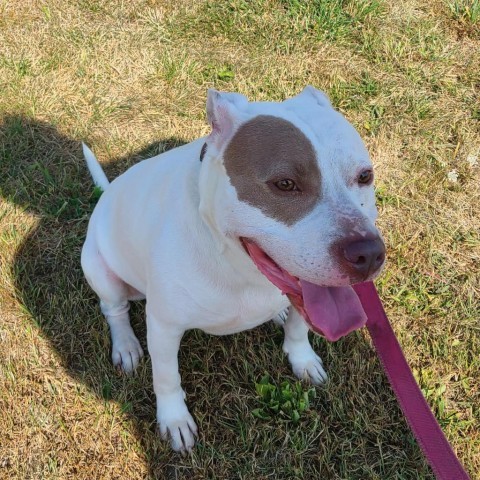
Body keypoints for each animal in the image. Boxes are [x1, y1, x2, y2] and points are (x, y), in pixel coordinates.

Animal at [80, 87, 384, 454]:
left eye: (364, 176)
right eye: (285, 183)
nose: (368, 254)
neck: (239, 266)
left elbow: (299, 330)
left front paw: (303, 360)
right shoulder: (164, 327)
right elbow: (166, 377)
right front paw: (174, 419)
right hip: (98, 267)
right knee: (114, 309)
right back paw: (125, 344)